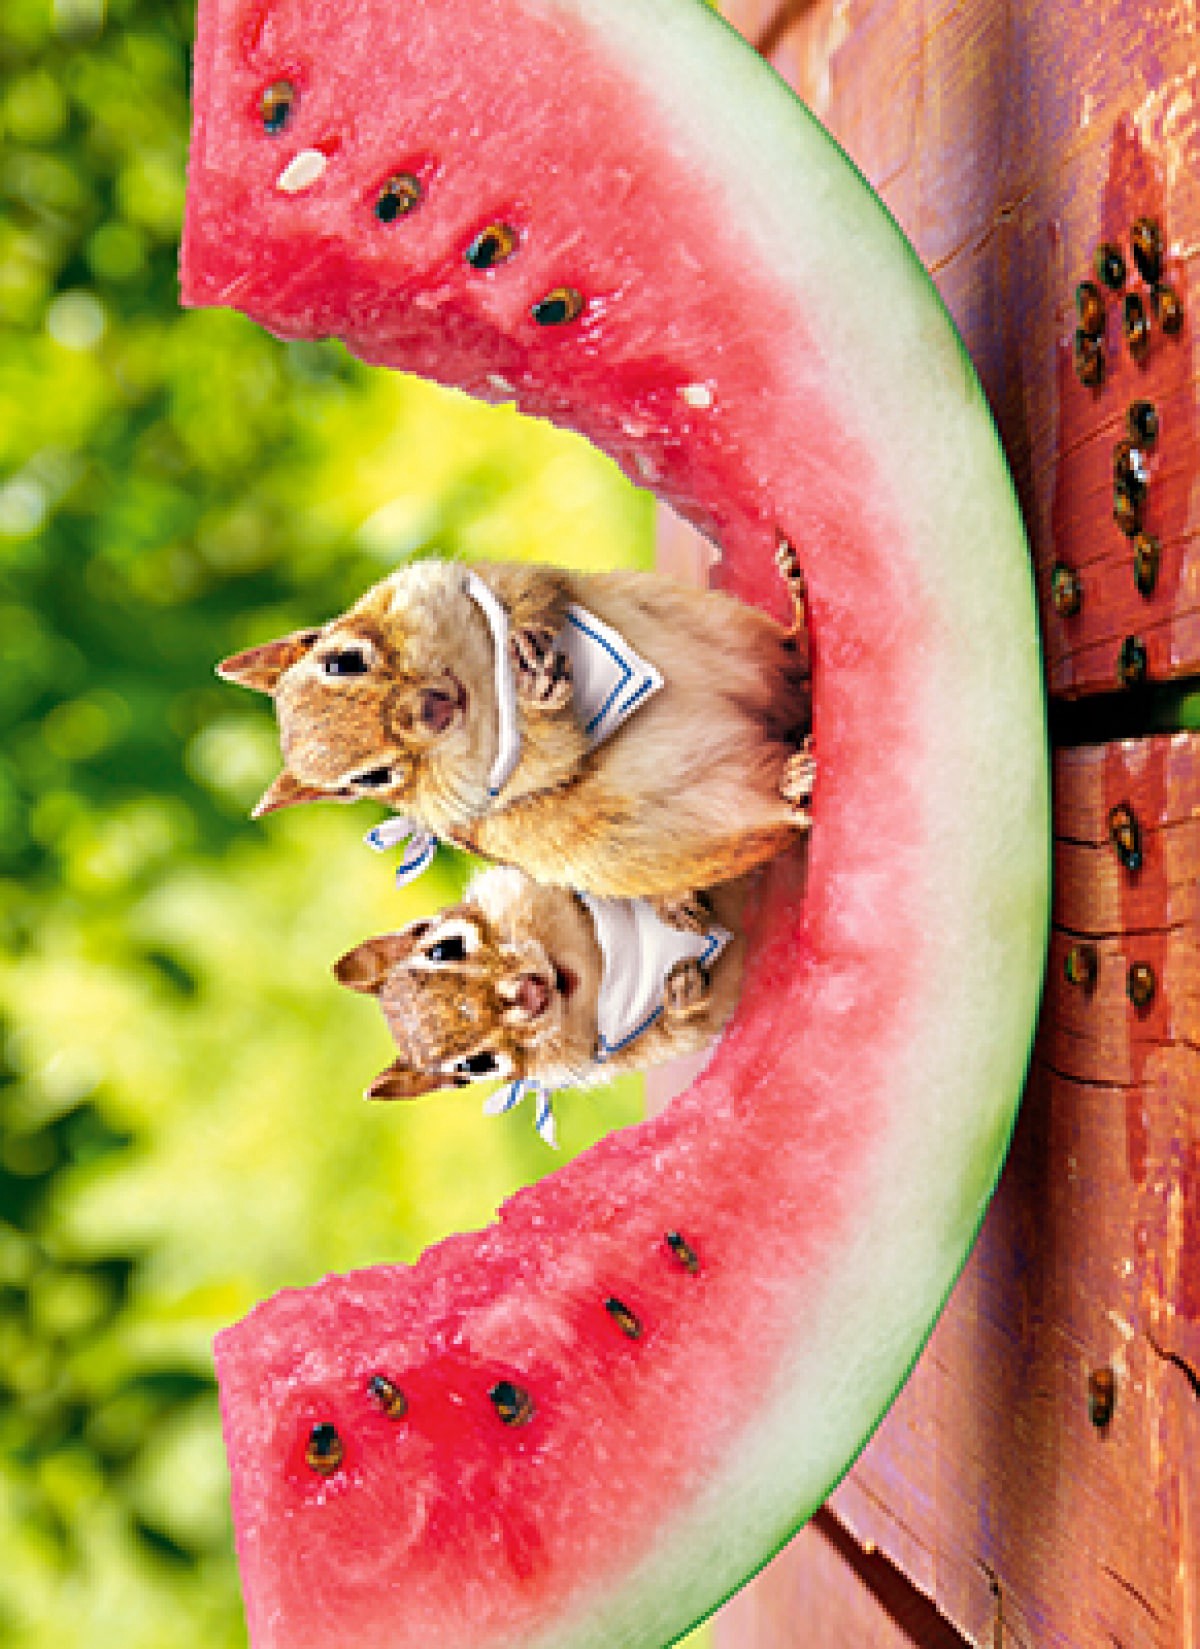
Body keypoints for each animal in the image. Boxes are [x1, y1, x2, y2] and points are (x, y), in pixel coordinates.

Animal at [218, 544, 813, 903]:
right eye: (371, 780)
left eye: (343, 660)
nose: (431, 711)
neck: (483, 694)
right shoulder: (490, 797)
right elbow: (554, 757)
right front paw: (542, 697)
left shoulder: (494, 581)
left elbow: (531, 595)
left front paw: (526, 654)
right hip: (712, 820)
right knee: (780, 813)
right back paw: (795, 780)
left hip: (727, 629)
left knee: (790, 660)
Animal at [332, 863, 749, 1135]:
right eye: (477, 1065)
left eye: (443, 948)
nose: (528, 995)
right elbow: (688, 1019)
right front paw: (682, 990)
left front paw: (670, 900)